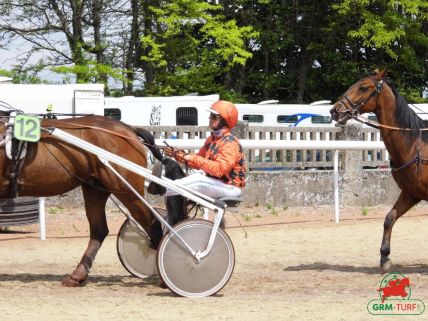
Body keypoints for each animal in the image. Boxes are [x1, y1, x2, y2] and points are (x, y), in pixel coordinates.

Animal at [0, 113, 164, 284]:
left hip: (126, 190)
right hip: (95, 190)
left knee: (152, 223)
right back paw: (78, 275)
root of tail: (128, 129)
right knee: (99, 230)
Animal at [332, 69, 428, 272]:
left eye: (363, 87)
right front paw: (385, 258)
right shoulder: (411, 193)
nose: (335, 110)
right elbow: (389, 218)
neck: (417, 146)